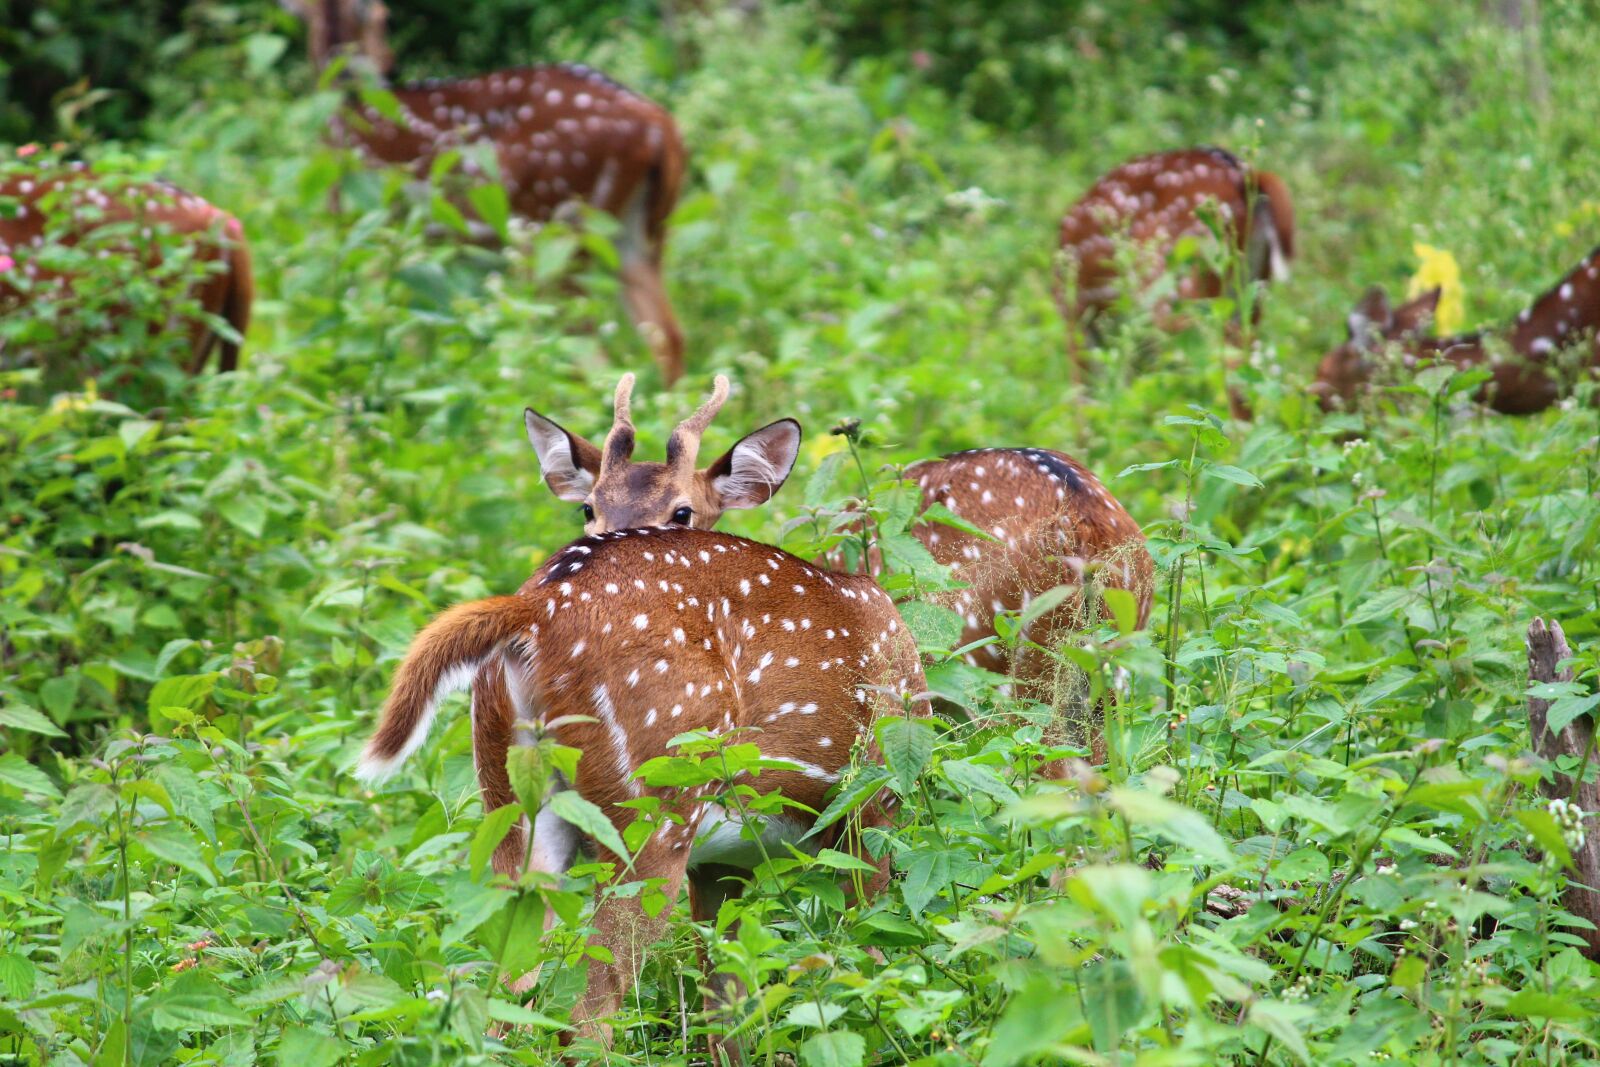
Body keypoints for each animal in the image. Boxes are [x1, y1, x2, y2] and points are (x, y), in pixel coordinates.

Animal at [280, 0, 688, 384]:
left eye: (386, 17)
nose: (389, 65)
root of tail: (659, 124)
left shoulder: (371, 230)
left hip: (553, 228)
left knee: (581, 346)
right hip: (639, 233)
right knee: (666, 336)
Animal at [356, 524, 928, 1056]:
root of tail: (534, 608)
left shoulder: (724, 864)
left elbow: (725, 1001)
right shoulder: (872, 808)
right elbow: (873, 956)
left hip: (514, 810)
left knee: (506, 991)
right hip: (653, 806)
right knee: (585, 1007)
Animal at [523, 375, 1154, 772]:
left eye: (682, 512)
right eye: (588, 507)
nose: (604, 550)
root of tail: (1085, 521)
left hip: (995, 662)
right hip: (1112, 667)